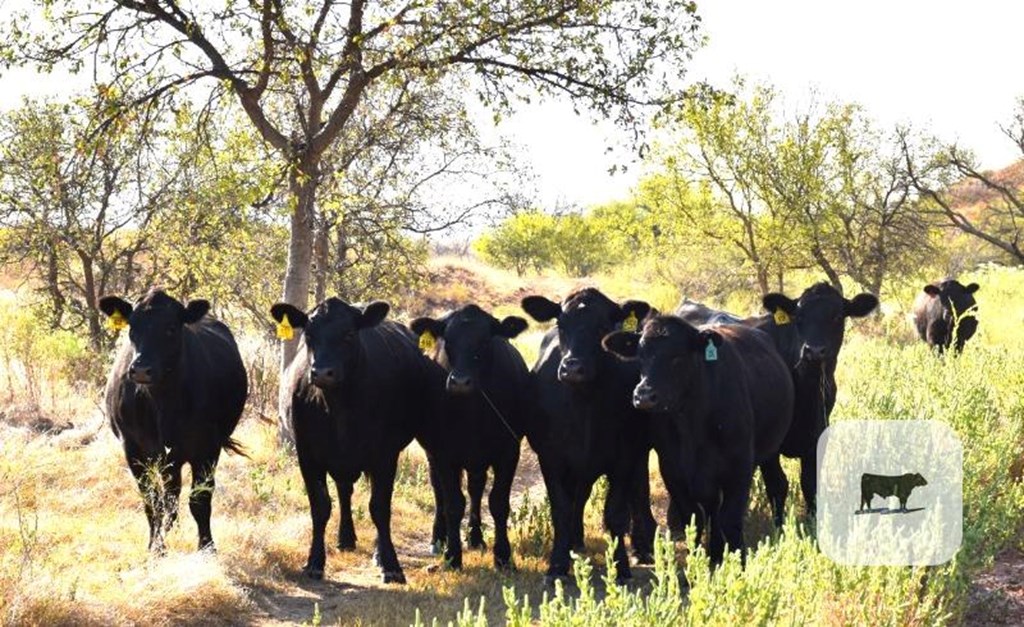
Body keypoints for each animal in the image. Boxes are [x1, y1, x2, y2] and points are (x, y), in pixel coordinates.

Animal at [99, 288, 247, 553]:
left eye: (170, 328)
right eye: (132, 327)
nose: (140, 369)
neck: (162, 403)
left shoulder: (207, 449)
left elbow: (200, 500)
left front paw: (207, 547)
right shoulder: (133, 448)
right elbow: (151, 500)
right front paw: (155, 547)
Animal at [272, 299, 448, 581]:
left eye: (349, 334)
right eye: (309, 335)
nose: (322, 373)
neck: (338, 408)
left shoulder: (385, 455)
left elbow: (380, 508)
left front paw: (391, 565)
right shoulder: (307, 454)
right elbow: (320, 506)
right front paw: (314, 562)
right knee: (344, 490)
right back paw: (346, 538)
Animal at [520, 288, 655, 581]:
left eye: (603, 327)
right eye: (561, 324)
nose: (572, 367)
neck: (584, 403)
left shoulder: (624, 457)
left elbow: (615, 511)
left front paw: (620, 565)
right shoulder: (551, 457)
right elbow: (561, 508)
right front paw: (557, 565)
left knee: (639, 492)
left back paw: (642, 546)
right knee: (578, 498)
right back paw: (575, 541)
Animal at [602, 315, 794, 565]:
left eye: (677, 357)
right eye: (640, 356)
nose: (643, 396)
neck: (693, 424)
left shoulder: (739, 466)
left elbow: (730, 518)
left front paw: (739, 561)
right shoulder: (673, 470)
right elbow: (693, 518)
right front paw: (700, 559)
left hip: (770, 451)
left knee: (776, 485)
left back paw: (779, 532)